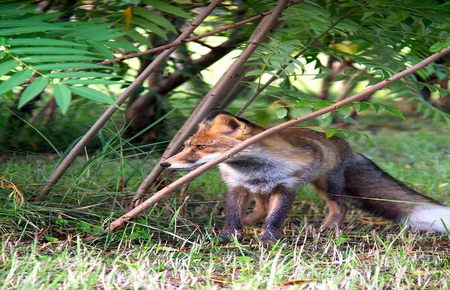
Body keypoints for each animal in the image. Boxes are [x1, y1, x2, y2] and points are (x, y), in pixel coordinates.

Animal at [160, 110, 448, 241]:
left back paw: (327, 229)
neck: (253, 167)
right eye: (187, 145)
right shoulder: (238, 186)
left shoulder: (287, 186)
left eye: (201, 147)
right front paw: (228, 235)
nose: (165, 163)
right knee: (260, 209)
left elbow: (275, 217)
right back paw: (250, 222)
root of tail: (347, 146)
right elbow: (233, 215)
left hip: (326, 185)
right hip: (260, 190)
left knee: (340, 207)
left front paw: (269, 239)